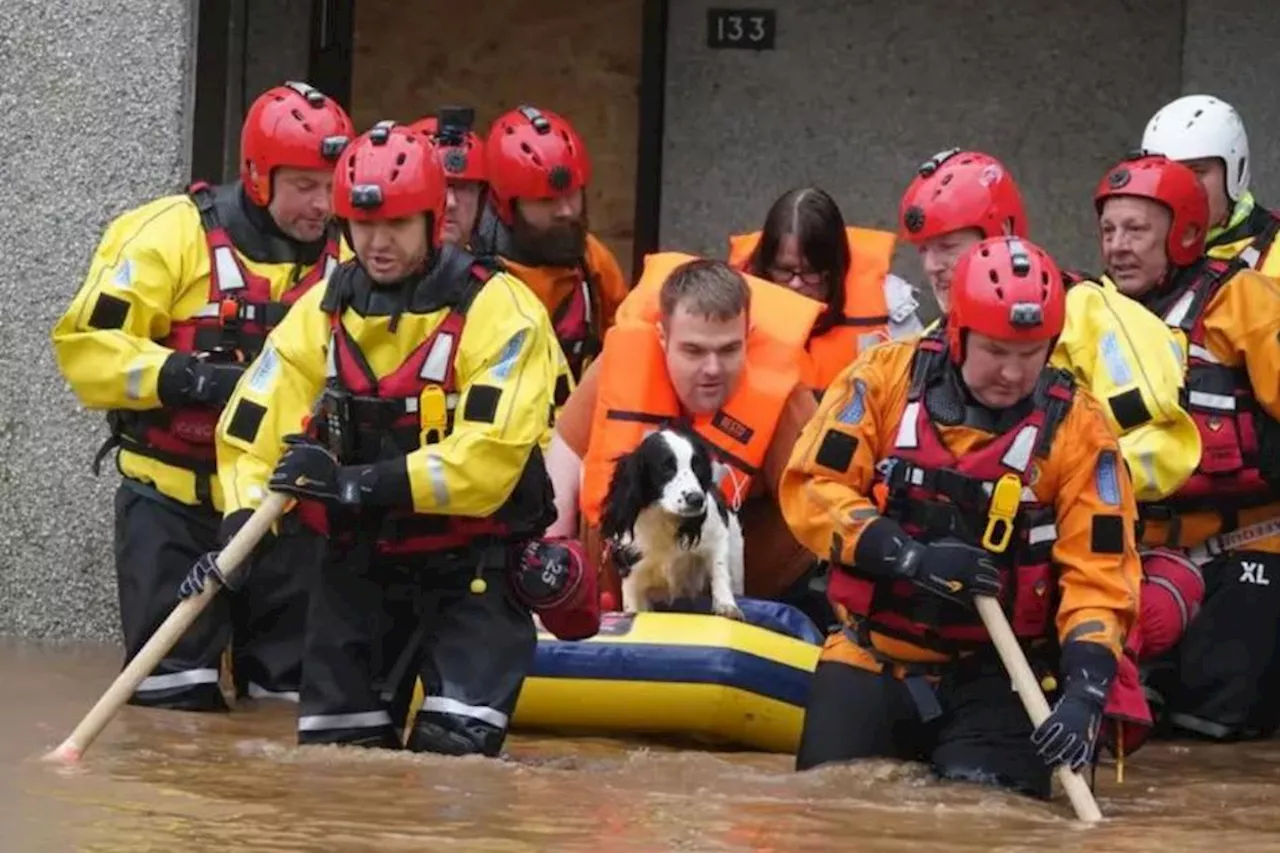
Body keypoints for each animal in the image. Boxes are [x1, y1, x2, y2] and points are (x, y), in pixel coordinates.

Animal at [601, 425, 747, 617]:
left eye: (697, 467)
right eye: (666, 467)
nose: (697, 499)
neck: (666, 519)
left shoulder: (717, 537)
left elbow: (719, 569)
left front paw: (726, 605)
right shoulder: (632, 573)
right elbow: (634, 608)